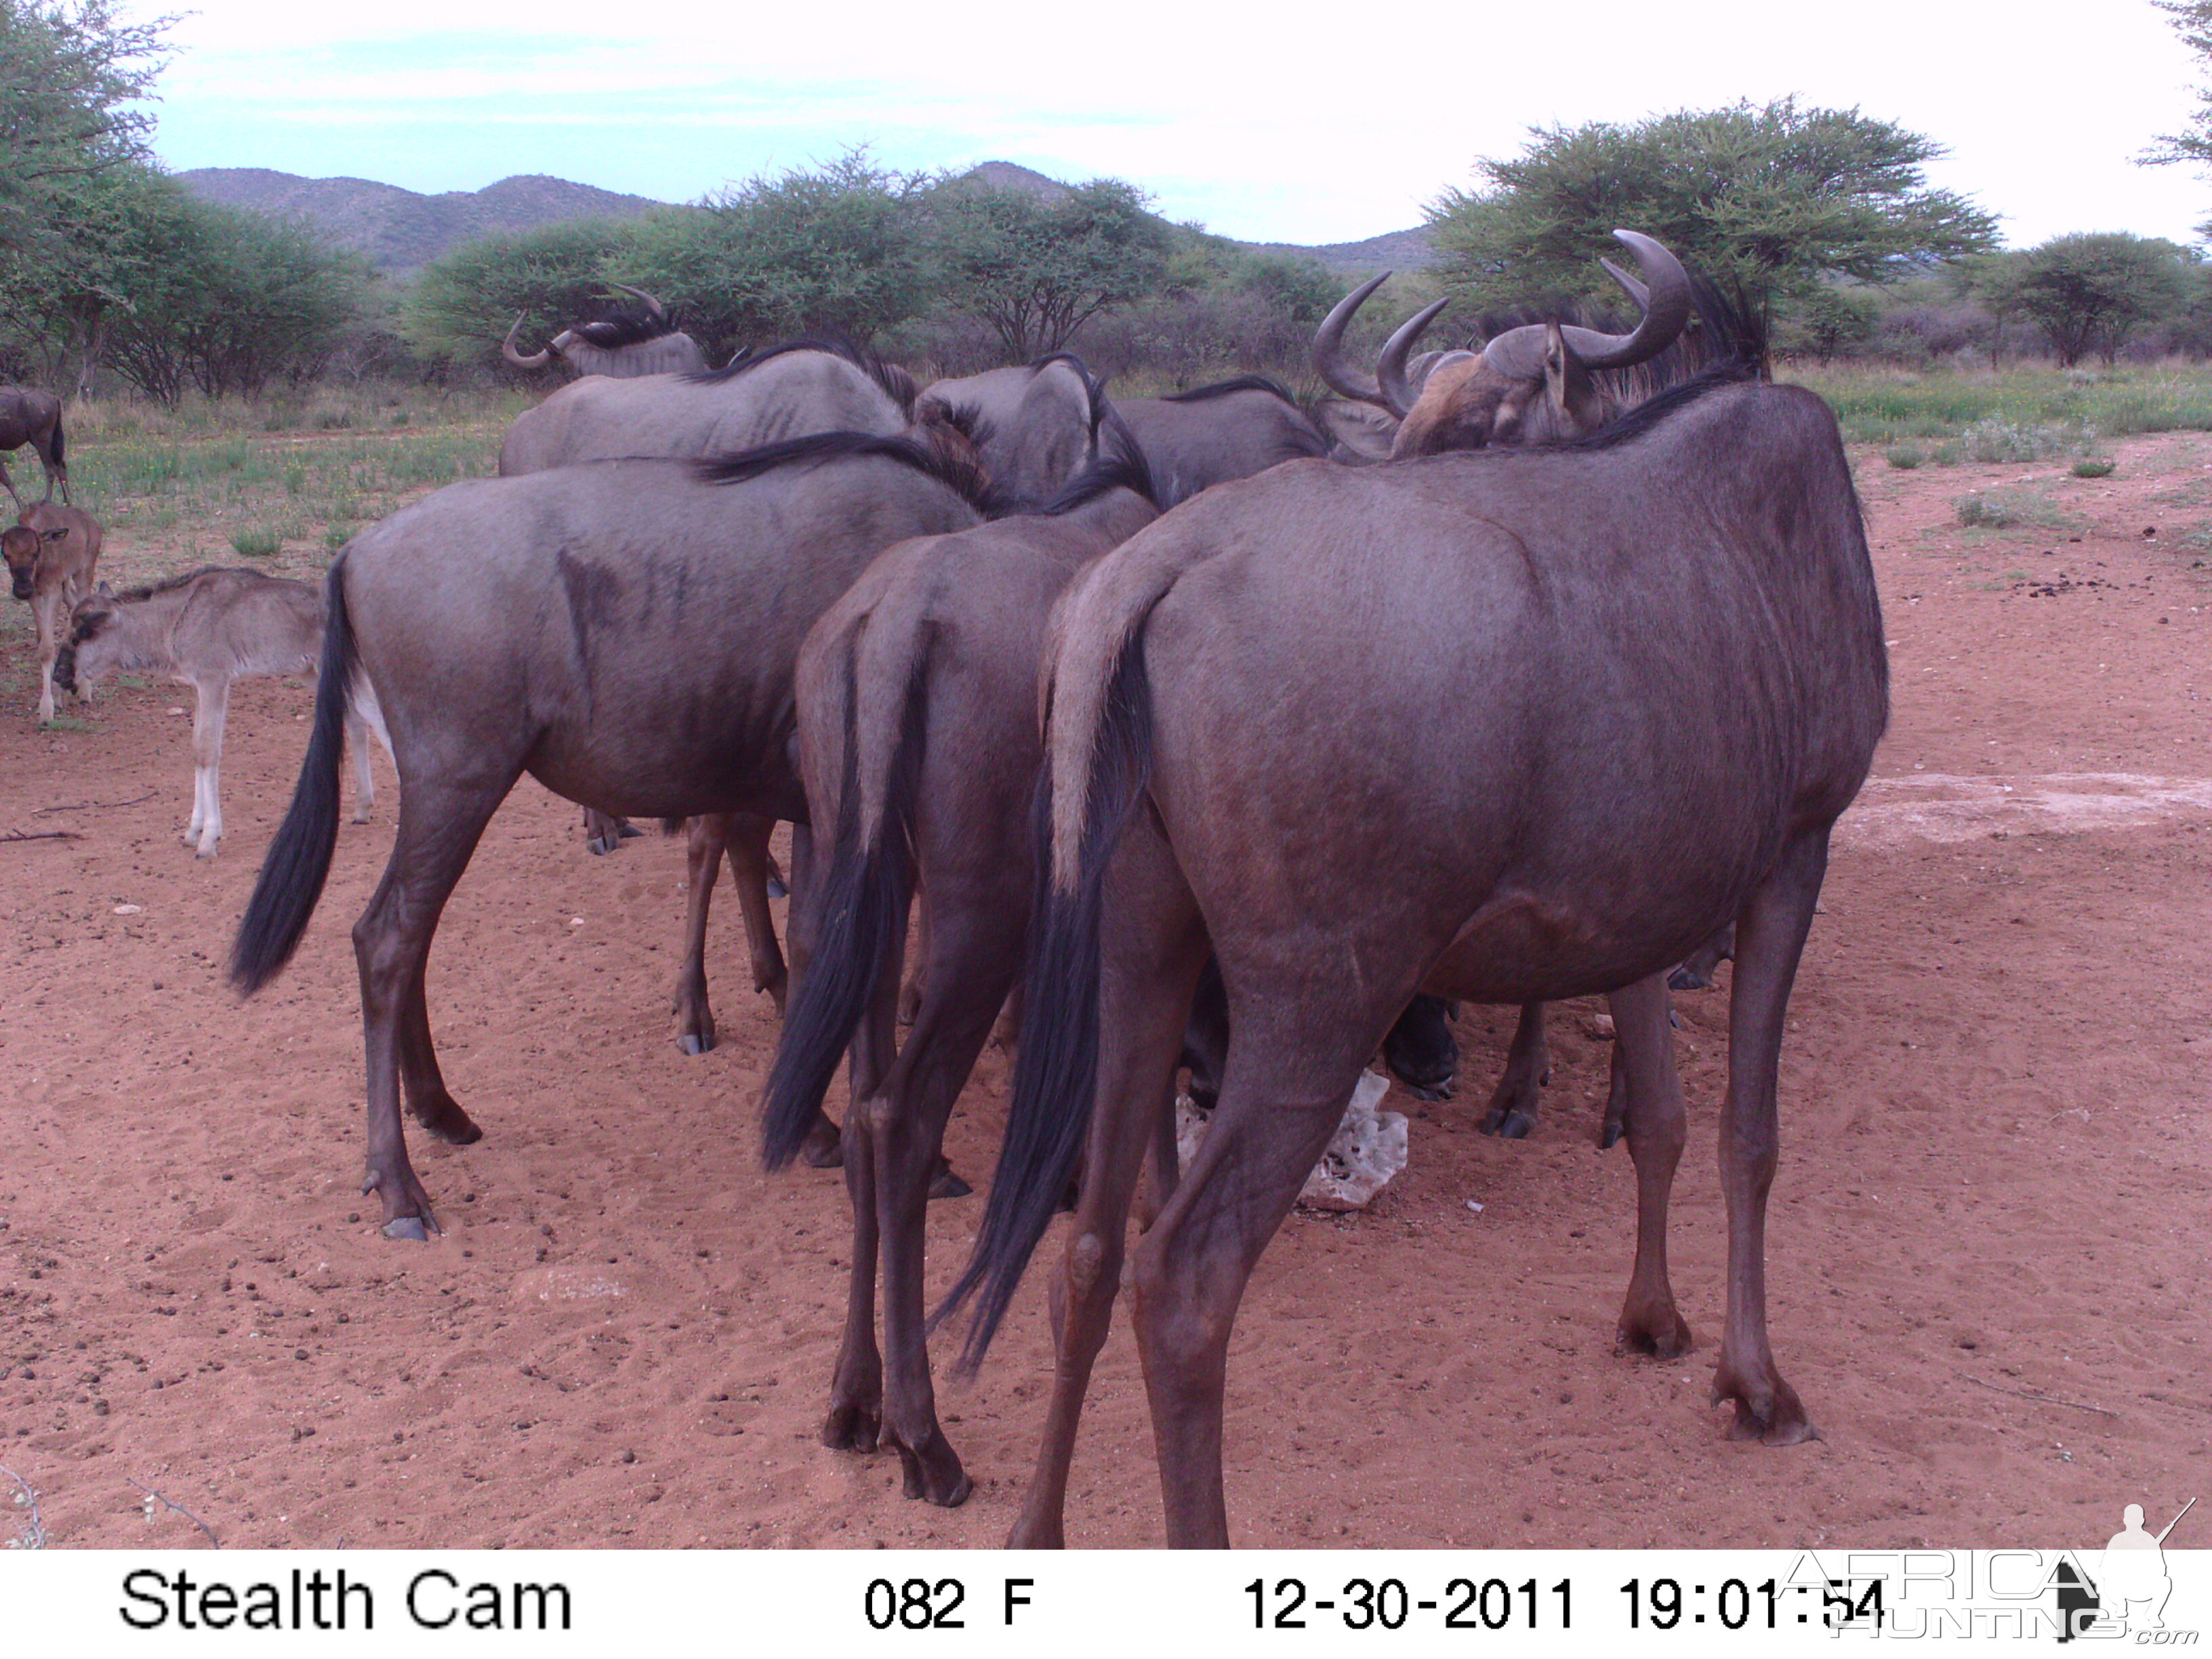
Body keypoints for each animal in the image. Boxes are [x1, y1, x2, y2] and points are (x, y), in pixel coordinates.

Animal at [3, 499, 102, 721]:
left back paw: (85, 689)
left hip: (84, 572)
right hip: (66, 585)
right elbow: (43, 640)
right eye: (5, 554)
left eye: (35, 552)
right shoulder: (36, 595)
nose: (22, 589)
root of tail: (91, 521)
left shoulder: (53, 589)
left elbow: (49, 648)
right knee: (75, 606)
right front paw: (54, 697)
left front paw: (48, 708)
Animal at [57, 571, 389, 858]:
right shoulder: (199, 686)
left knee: (377, 717)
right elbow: (197, 751)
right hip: (313, 672)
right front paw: (194, 831)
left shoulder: (214, 680)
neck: (174, 619)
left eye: (79, 636)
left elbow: (208, 752)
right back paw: (363, 806)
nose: (59, 675)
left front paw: (209, 838)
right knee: (357, 720)